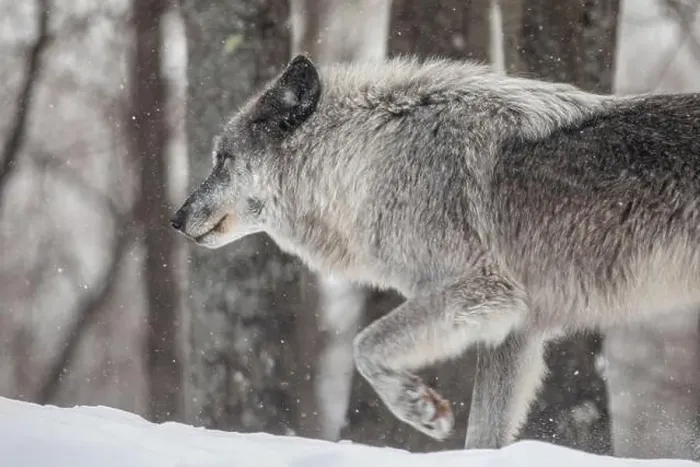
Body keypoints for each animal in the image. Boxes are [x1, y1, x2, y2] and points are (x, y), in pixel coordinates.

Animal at [171, 54, 700, 448]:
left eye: (221, 160)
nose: (175, 219)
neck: (365, 160)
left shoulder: (484, 290)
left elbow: (365, 346)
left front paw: (417, 406)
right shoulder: (515, 330)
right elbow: (483, 436)